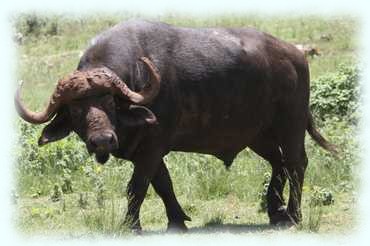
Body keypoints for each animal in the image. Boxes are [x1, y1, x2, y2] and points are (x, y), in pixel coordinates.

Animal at [16, 20, 336, 232]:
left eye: (109, 102)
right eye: (75, 109)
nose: (103, 140)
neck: (136, 78)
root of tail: (296, 56)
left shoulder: (152, 147)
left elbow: (137, 186)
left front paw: (131, 225)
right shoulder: (150, 150)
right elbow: (163, 184)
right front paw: (177, 221)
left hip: (291, 125)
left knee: (296, 164)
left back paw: (293, 216)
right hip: (258, 135)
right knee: (277, 163)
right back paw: (274, 211)